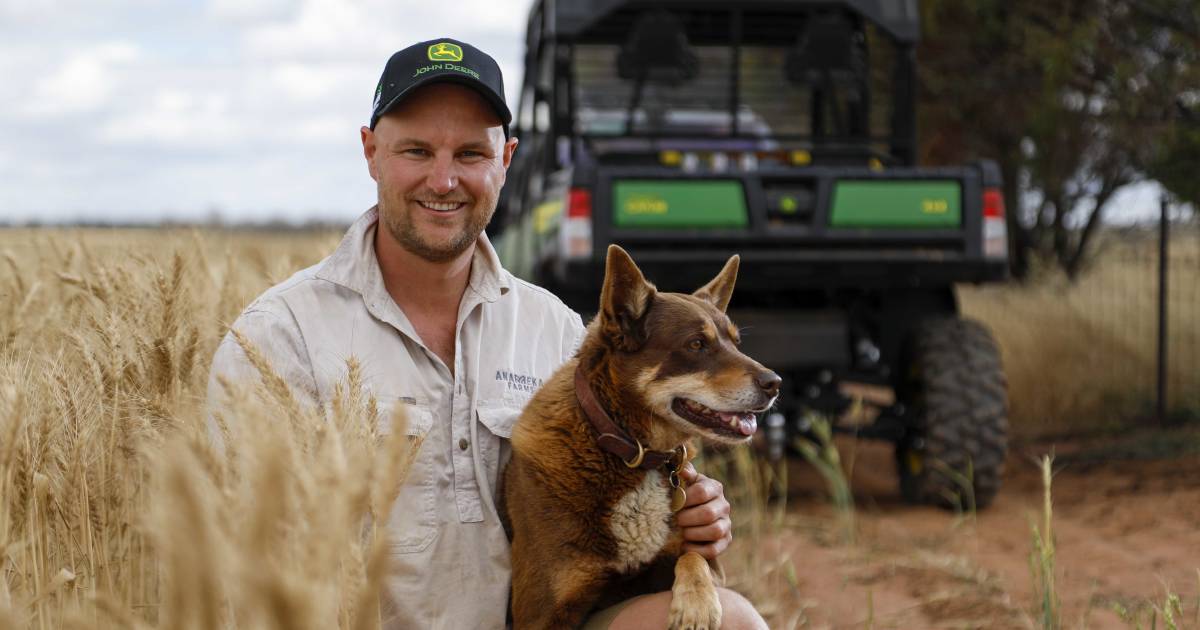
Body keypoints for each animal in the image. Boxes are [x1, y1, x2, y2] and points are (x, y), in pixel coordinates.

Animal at [504, 246, 777, 628]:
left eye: (736, 343)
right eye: (696, 344)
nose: (775, 383)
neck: (632, 451)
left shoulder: (701, 557)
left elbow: (692, 557)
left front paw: (696, 601)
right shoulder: (542, 611)